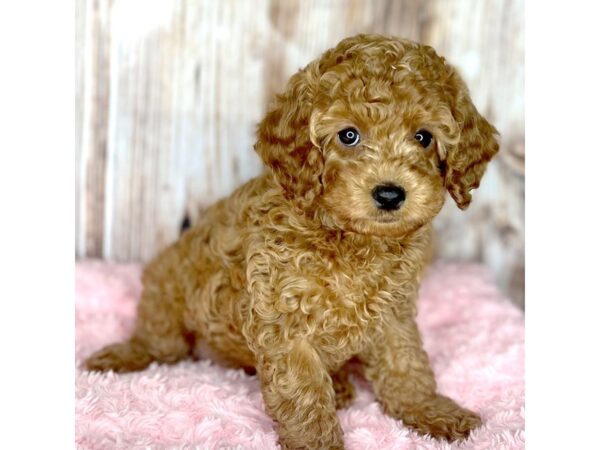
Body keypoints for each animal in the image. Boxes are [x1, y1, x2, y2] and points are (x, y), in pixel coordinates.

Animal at [84, 35, 496, 450]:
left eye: (423, 137)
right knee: (158, 343)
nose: (390, 194)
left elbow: (406, 364)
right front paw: (317, 442)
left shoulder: (393, 313)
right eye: (349, 135)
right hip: (168, 293)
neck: (352, 239)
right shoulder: (284, 321)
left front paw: (430, 410)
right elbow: (305, 395)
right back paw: (121, 355)